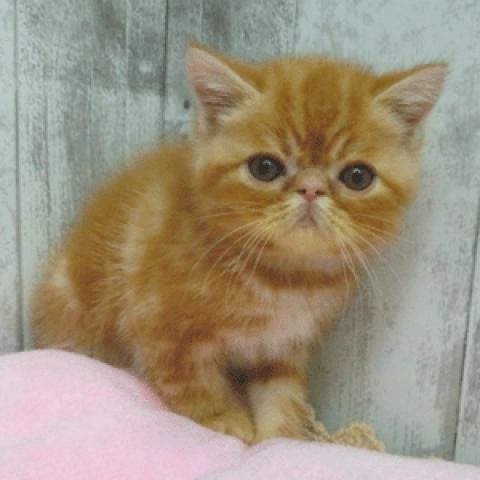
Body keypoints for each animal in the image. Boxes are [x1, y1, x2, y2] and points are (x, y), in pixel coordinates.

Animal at [32, 43, 446, 443]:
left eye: (357, 176)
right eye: (265, 168)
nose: (311, 189)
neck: (286, 280)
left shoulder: (282, 347)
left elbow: (282, 392)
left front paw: (282, 437)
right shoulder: (160, 326)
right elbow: (189, 380)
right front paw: (224, 419)